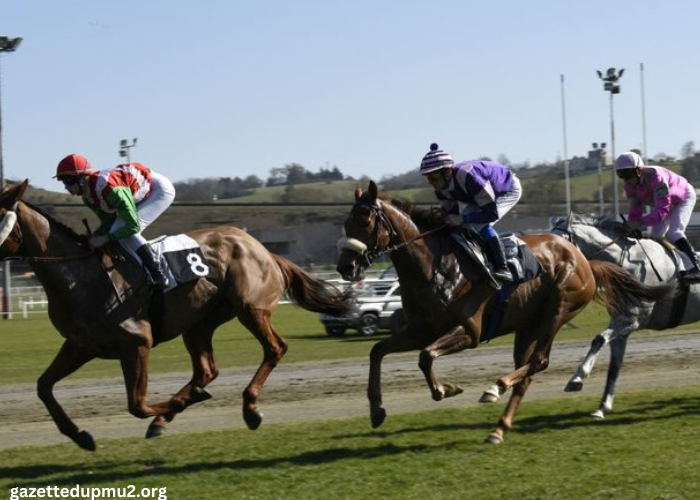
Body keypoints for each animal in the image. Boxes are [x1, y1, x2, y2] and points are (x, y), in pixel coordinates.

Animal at [0, 181, 352, 454]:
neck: (79, 276)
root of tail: (265, 249)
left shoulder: (137, 342)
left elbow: (137, 404)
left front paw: (179, 404)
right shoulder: (80, 346)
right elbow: (43, 387)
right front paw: (81, 436)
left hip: (250, 308)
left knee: (275, 348)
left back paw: (249, 408)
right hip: (198, 323)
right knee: (207, 370)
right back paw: (171, 414)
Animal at [336, 182, 668, 444]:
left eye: (365, 221)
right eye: (346, 223)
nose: (345, 267)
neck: (434, 267)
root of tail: (585, 260)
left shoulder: (469, 331)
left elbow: (425, 356)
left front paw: (445, 389)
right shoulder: (421, 330)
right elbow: (378, 351)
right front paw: (377, 410)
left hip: (558, 311)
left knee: (539, 361)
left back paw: (496, 388)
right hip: (527, 326)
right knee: (527, 370)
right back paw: (499, 427)